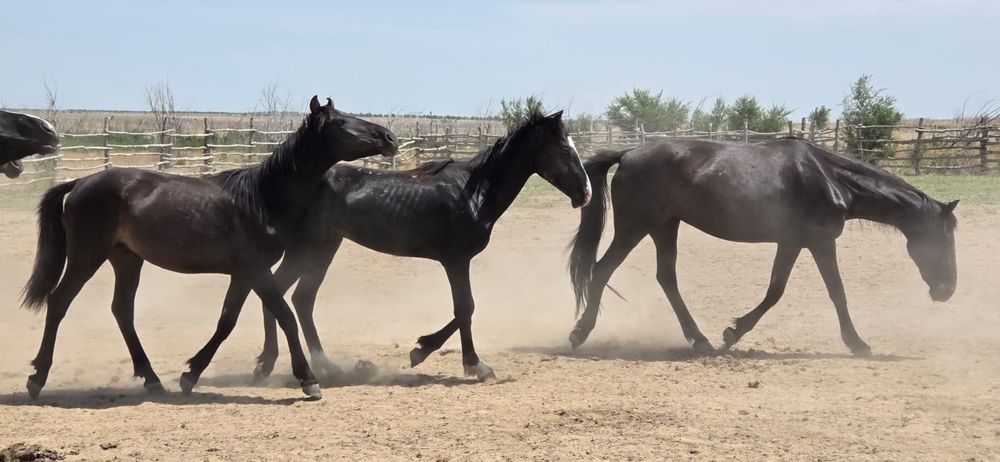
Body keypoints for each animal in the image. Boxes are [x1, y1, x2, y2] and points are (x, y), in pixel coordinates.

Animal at [21, 96, 398, 399]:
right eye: (340, 122)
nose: (389, 138)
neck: (261, 198)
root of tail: (80, 183)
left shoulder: (243, 275)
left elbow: (227, 321)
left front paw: (191, 375)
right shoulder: (256, 270)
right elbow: (286, 316)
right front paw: (308, 380)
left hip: (126, 259)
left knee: (121, 311)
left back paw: (152, 379)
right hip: (87, 256)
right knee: (59, 302)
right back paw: (37, 379)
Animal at [252, 110, 591, 382]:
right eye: (564, 149)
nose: (586, 193)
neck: (474, 191)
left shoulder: (456, 261)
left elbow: (464, 310)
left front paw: (421, 349)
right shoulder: (456, 260)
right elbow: (465, 307)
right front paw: (476, 366)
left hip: (324, 248)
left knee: (300, 298)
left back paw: (322, 366)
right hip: (307, 248)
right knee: (280, 294)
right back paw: (268, 366)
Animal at [567, 137, 958, 356]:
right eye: (943, 237)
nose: (947, 290)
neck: (830, 178)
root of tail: (628, 153)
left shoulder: (792, 243)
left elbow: (776, 290)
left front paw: (732, 333)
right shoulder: (820, 242)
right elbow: (835, 293)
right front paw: (858, 344)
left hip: (665, 227)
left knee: (666, 278)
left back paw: (700, 340)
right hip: (636, 227)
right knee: (603, 269)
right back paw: (580, 334)